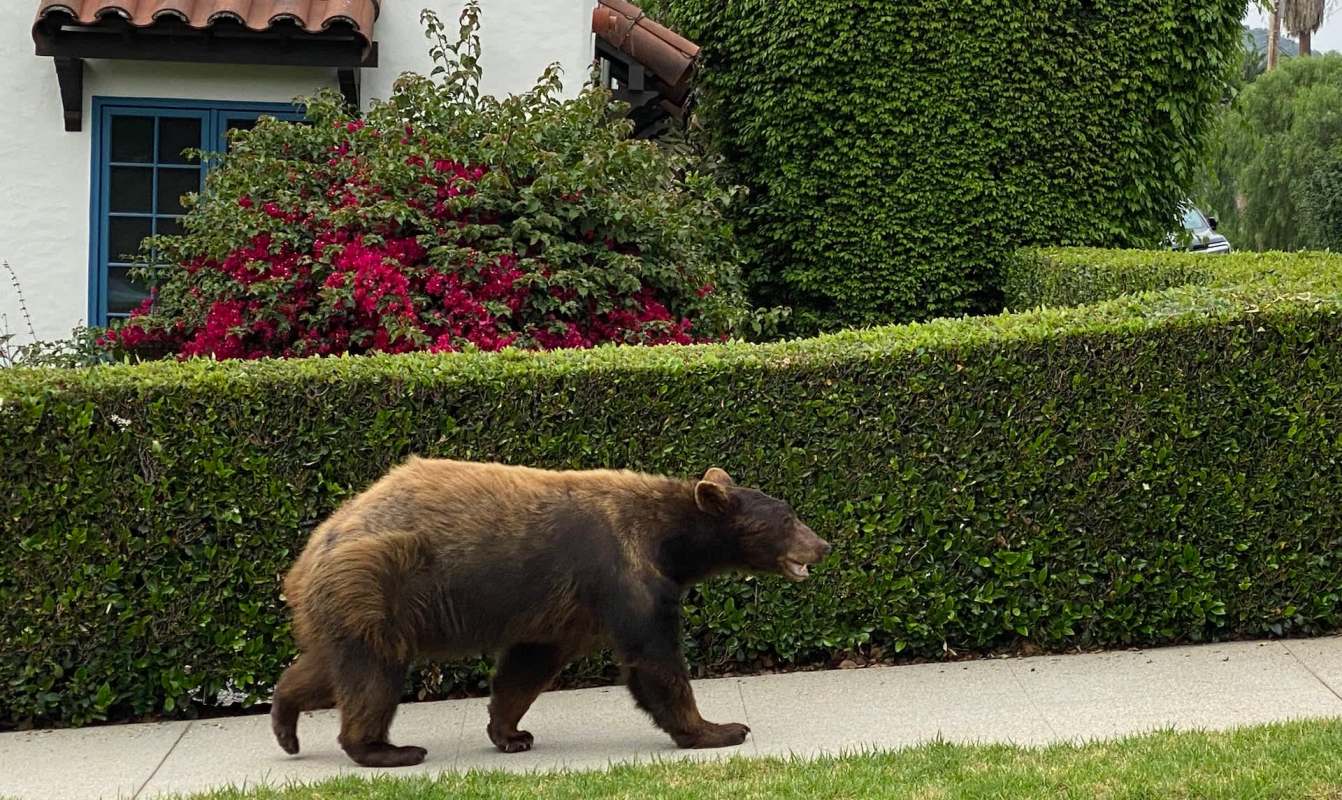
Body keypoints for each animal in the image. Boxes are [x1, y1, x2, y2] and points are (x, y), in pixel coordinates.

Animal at [270, 458, 831, 768]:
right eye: (788, 519)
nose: (822, 545)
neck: (670, 541)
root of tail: (308, 554)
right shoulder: (621, 574)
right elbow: (654, 661)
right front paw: (720, 728)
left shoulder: (561, 609)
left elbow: (528, 665)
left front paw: (511, 733)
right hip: (376, 586)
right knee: (373, 675)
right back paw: (389, 750)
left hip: (346, 605)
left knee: (328, 667)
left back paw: (286, 723)